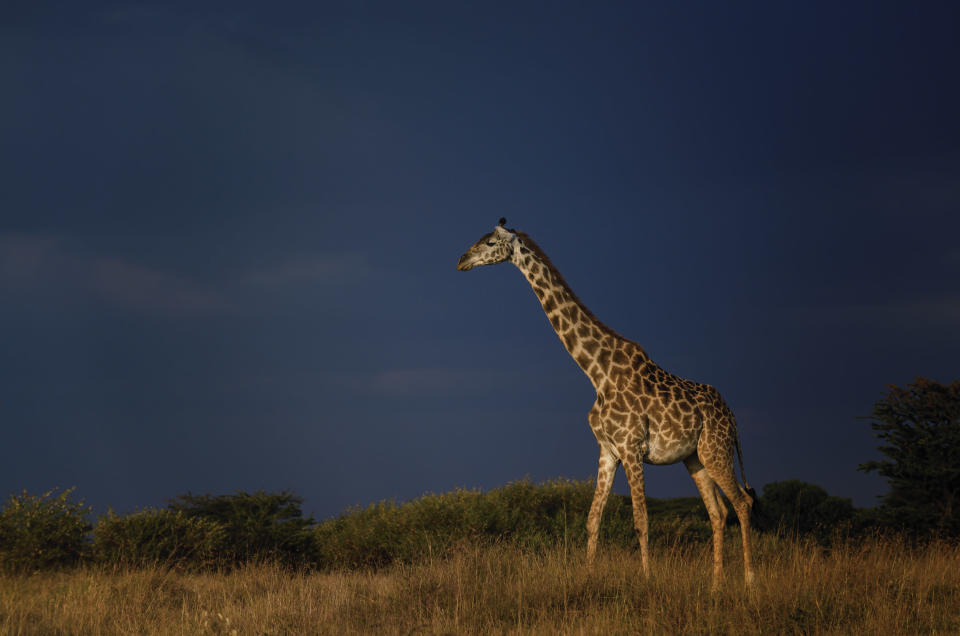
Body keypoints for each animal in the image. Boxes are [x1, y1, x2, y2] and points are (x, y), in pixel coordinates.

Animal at [458, 220, 756, 592]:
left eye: (490, 242)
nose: (462, 261)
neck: (596, 372)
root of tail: (733, 417)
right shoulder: (608, 450)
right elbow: (592, 520)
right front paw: (586, 580)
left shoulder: (631, 447)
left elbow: (641, 520)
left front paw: (647, 581)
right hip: (695, 457)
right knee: (719, 513)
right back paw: (715, 585)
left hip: (717, 451)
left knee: (743, 503)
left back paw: (750, 581)